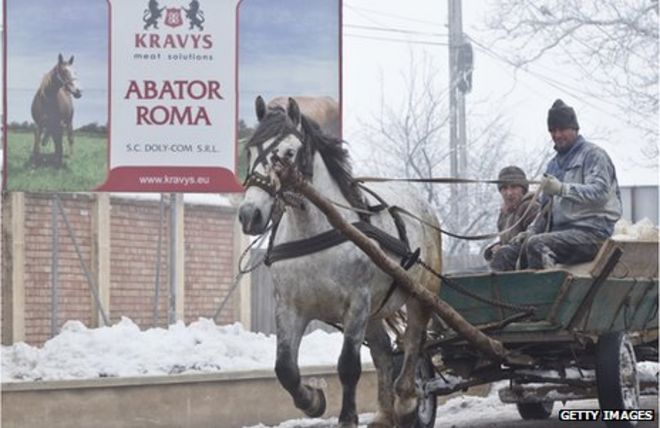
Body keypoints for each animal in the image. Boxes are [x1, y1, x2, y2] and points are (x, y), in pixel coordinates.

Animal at [238, 98, 444, 428]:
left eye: (288, 152)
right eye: (249, 151)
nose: (249, 215)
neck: (316, 230)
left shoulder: (356, 303)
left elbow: (348, 365)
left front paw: (347, 418)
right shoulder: (289, 307)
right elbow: (285, 369)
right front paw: (312, 401)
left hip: (421, 293)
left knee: (414, 341)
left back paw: (407, 400)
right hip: (375, 309)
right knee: (383, 353)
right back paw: (384, 414)